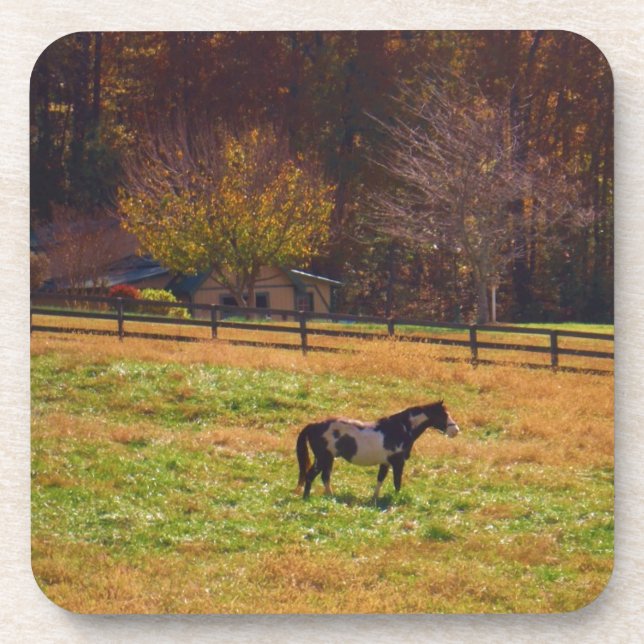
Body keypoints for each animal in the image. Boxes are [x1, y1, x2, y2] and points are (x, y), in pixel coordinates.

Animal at [295, 400, 459, 500]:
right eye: (444, 415)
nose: (456, 430)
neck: (400, 429)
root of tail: (313, 425)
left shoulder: (385, 463)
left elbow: (380, 479)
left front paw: (374, 498)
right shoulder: (398, 463)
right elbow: (397, 482)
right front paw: (396, 499)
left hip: (327, 459)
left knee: (323, 477)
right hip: (323, 458)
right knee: (312, 476)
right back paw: (310, 498)